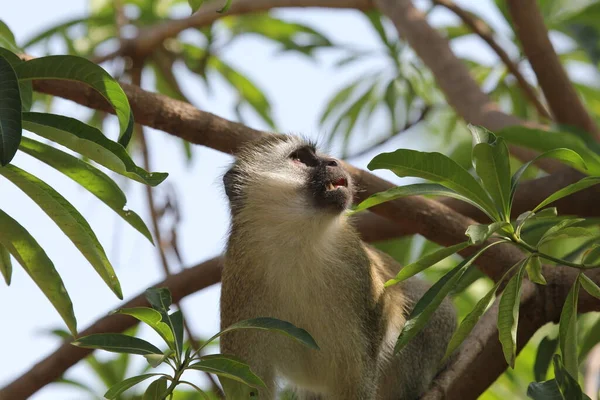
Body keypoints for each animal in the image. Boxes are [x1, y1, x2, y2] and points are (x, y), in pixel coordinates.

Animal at [218, 135, 458, 400]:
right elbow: (246, 385)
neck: (297, 242)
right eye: (300, 157)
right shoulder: (238, 285)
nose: (334, 161)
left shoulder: (360, 275)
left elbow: (358, 376)